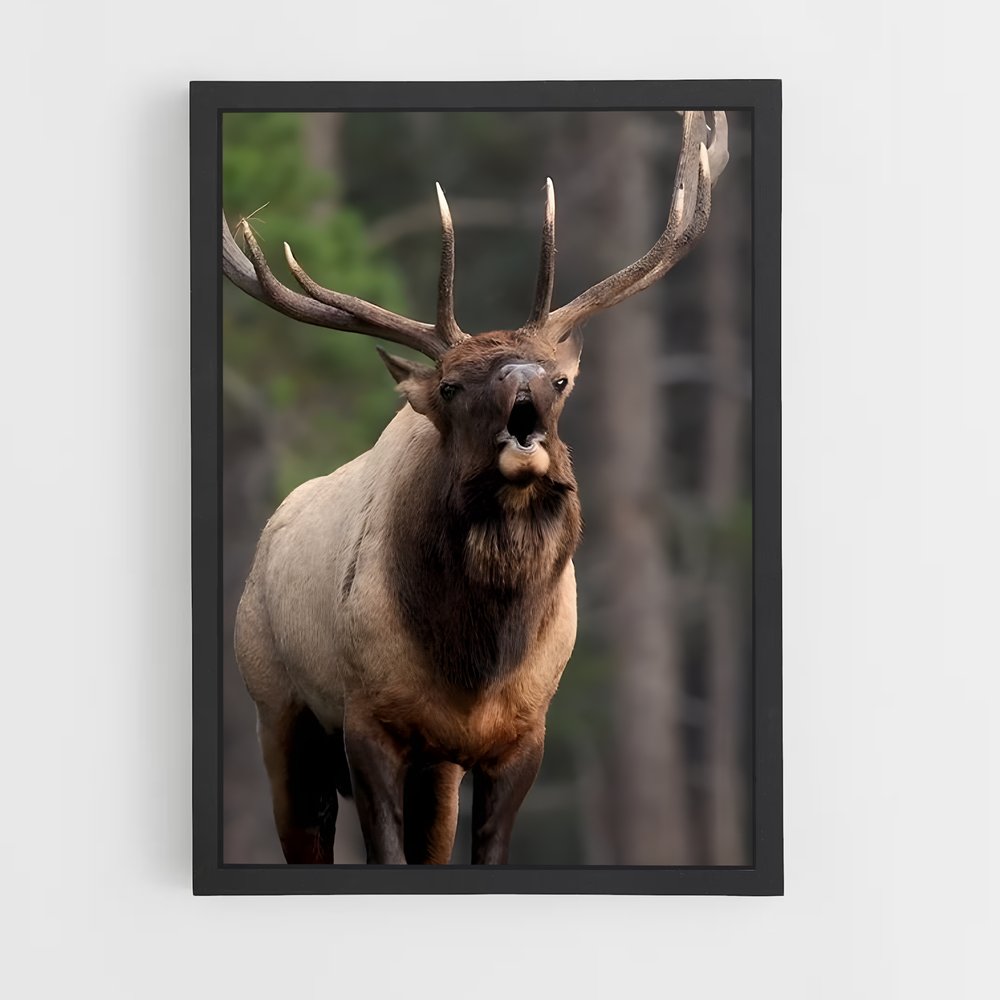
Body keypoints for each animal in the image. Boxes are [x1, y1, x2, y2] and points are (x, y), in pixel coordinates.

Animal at [222, 111, 729, 865]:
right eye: (452, 386)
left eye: (560, 380)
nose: (524, 383)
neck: (475, 664)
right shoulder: (367, 719)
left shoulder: (520, 736)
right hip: (278, 711)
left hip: (432, 770)